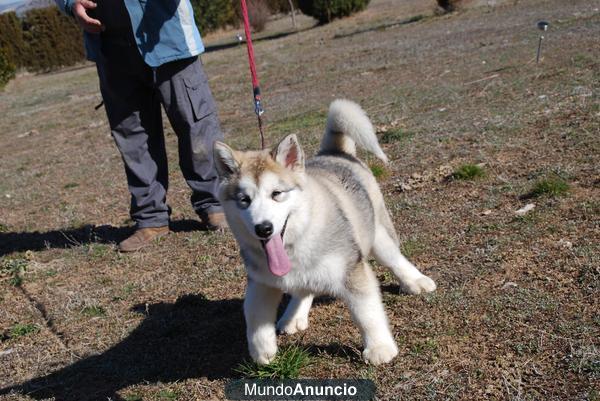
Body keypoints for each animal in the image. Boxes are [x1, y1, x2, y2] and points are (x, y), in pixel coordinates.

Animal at [214, 98, 436, 364]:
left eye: (276, 194)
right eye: (244, 200)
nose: (264, 228)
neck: (295, 243)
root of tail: (334, 152)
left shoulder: (352, 270)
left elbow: (366, 312)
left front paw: (379, 348)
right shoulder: (261, 282)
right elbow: (254, 316)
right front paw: (262, 351)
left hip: (376, 235)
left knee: (394, 258)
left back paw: (416, 281)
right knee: (303, 288)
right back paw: (293, 316)